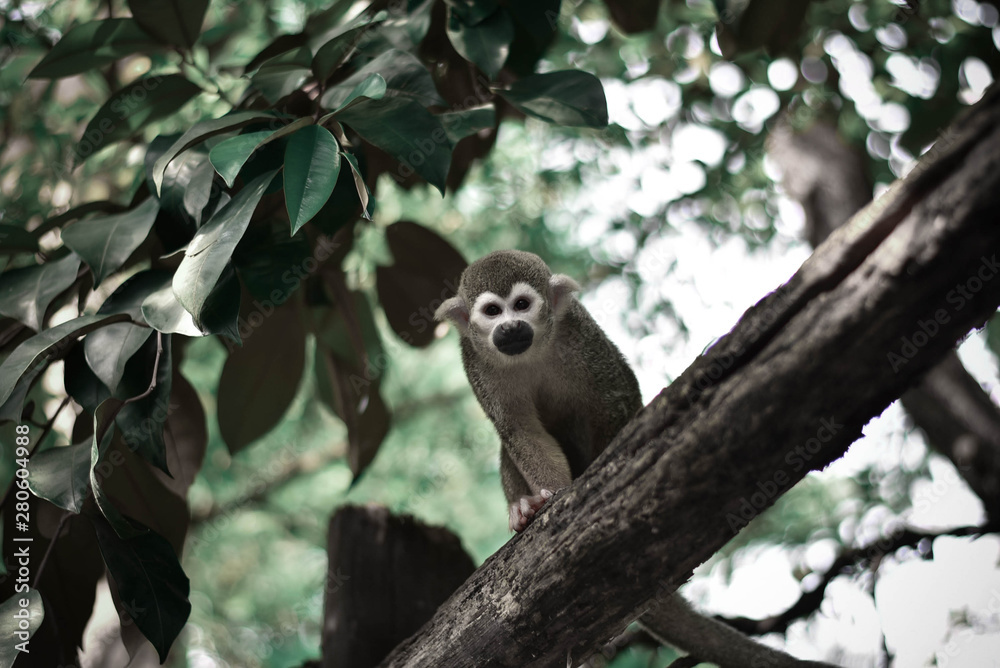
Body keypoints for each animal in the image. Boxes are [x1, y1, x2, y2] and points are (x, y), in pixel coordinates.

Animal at [434, 250, 839, 668]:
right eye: (492, 311)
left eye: (521, 305)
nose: (511, 327)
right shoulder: (476, 363)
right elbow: (519, 433)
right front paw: (546, 501)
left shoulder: (580, 333)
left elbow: (616, 396)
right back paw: (523, 508)